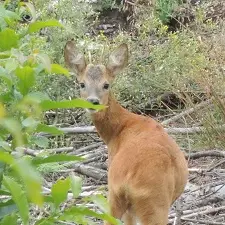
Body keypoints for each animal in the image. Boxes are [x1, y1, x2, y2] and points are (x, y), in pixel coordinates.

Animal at [64, 40, 189, 225]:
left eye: (106, 84)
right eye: (82, 84)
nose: (93, 102)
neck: (118, 130)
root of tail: (130, 177)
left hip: (122, 196)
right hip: (150, 202)